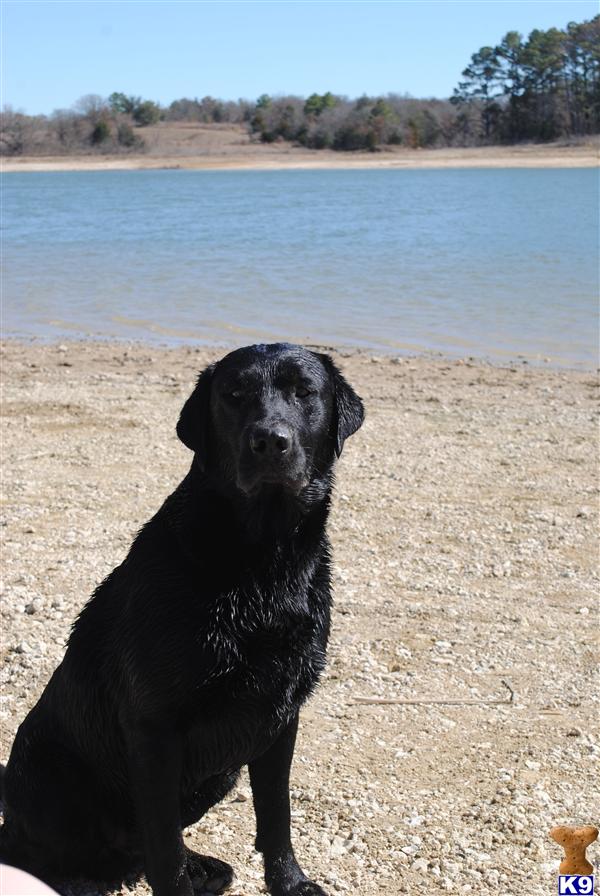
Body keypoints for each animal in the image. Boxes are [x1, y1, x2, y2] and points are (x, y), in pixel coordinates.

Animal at [0, 342, 366, 896]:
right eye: (234, 395)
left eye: (305, 392)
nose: (269, 441)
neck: (261, 562)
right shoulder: (155, 726)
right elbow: (163, 841)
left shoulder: (281, 715)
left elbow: (275, 814)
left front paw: (289, 881)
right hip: (48, 770)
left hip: (221, 773)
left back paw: (203, 868)